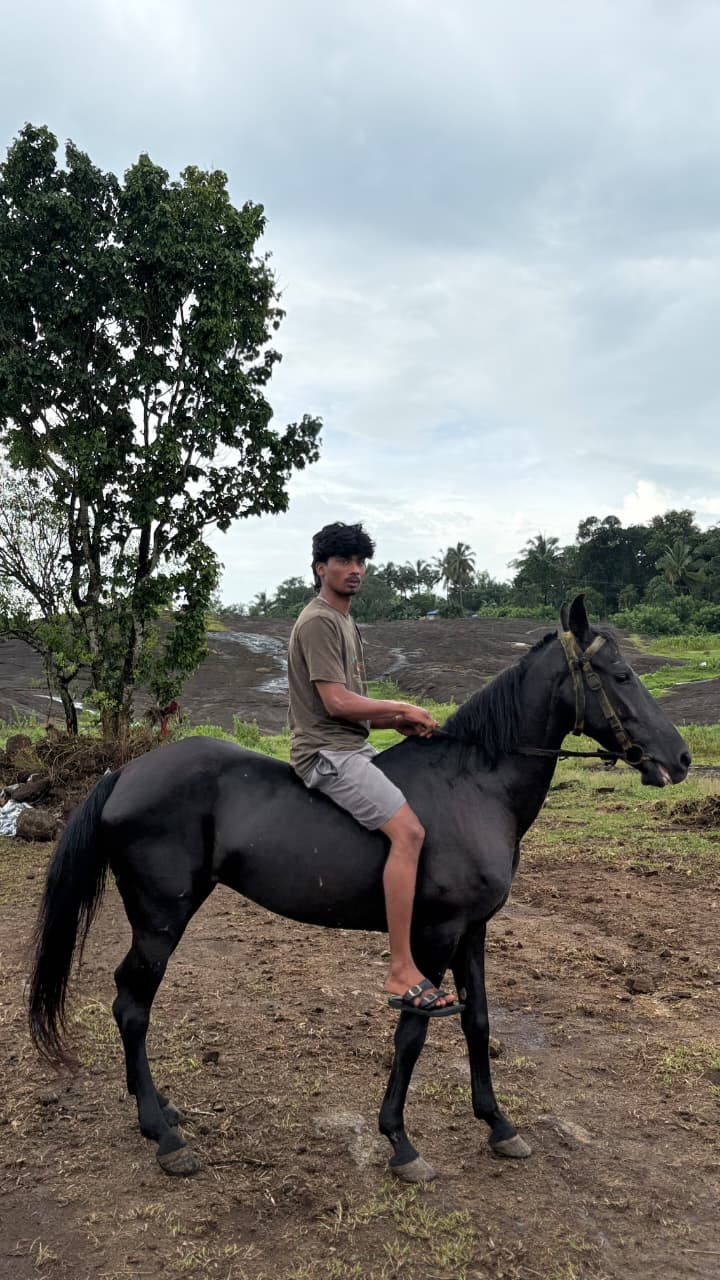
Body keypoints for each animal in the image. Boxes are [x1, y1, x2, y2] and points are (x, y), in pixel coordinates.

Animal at [29, 597, 691, 1183]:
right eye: (621, 675)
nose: (681, 758)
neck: (473, 785)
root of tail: (126, 772)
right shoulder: (436, 934)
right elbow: (413, 1032)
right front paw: (399, 1141)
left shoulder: (474, 930)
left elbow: (478, 1021)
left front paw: (499, 1126)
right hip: (161, 920)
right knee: (131, 1005)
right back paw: (163, 1136)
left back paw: (159, 1108)